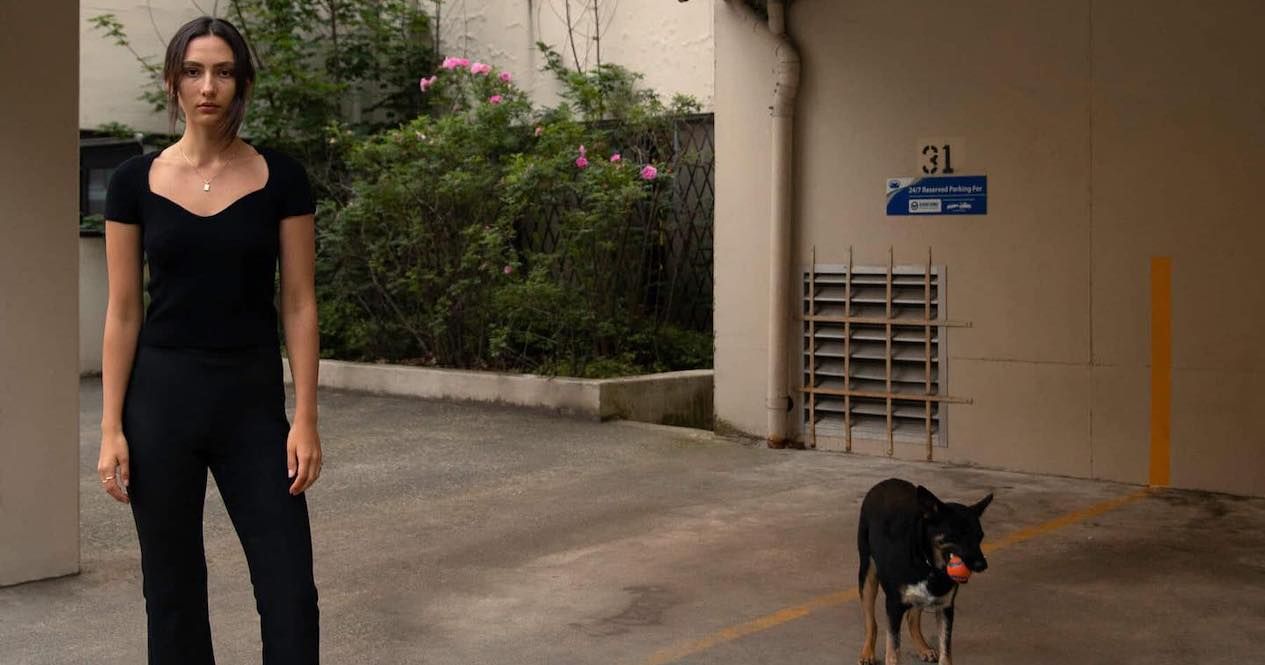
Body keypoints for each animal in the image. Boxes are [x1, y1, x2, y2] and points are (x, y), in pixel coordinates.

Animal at [857, 478, 992, 665]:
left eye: (980, 536)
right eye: (956, 535)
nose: (982, 565)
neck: (927, 562)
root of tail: (886, 481)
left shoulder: (945, 607)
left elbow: (946, 650)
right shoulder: (893, 606)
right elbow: (893, 651)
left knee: (912, 618)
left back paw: (923, 648)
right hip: (867, 573)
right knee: (871, 622)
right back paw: (867, 652)